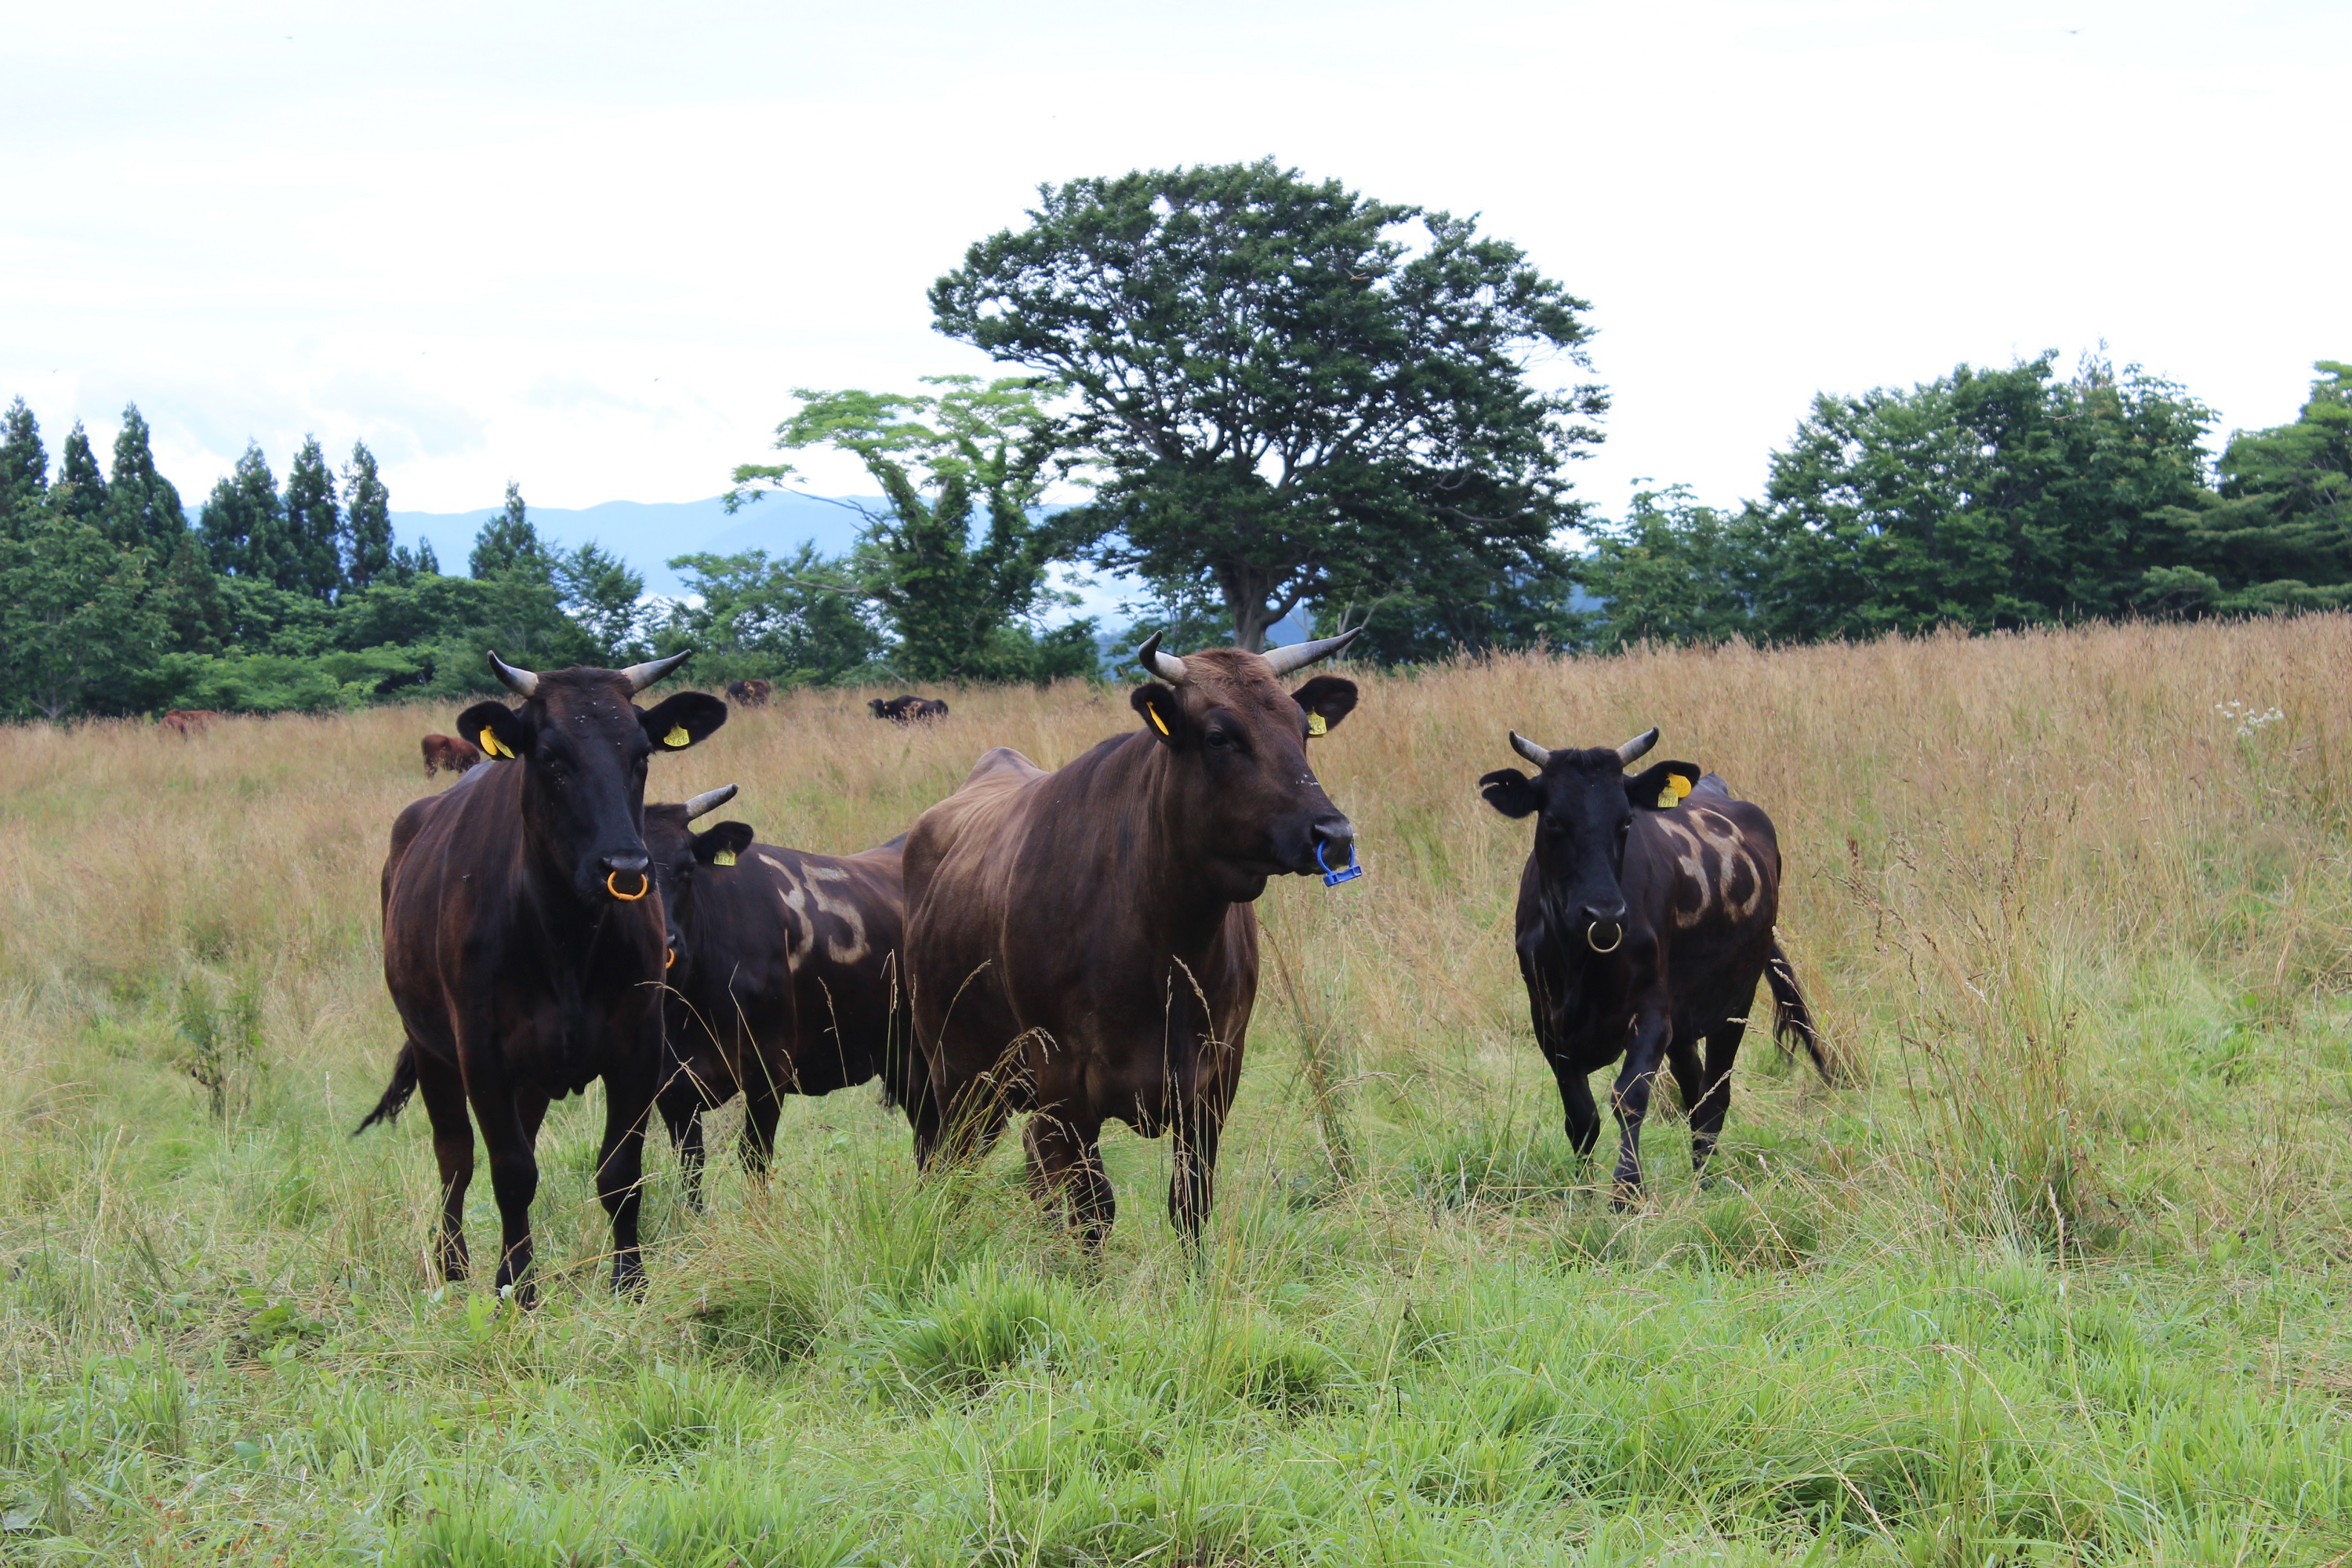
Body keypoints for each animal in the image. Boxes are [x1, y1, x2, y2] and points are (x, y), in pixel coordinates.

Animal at [353, 648, 724, 1298]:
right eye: (551, 757)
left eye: (641, 754)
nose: (626, 865)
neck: (566, 939)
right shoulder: (481, 1055)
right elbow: (510, 1172)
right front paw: (518, 1288)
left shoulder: (639, 1048)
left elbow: (620, 1171)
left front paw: (630, 1280)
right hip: (432, 1049)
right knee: (455, 1157)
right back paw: (453, 1264)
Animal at [908, 630, 1374, 1241]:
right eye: (1220, 737)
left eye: (1302, 729)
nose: (1335, 834)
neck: (1164, 948)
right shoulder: (1066, 1084)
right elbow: (1093, 1211)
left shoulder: (1216, 1079)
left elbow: (1190, 1203)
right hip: (960, 1076)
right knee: (951, 1173)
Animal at [1468, 724, 1835, 1203]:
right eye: (1553, 822)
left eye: (1625, 821)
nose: (1604, 914)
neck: (1582, 961)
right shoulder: (1547, 1022)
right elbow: (1580, 1115)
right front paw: (1585, 1192)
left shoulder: (1653, 1012)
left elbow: (1630, 1097)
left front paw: (1627, 1192)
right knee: (1694, 1088)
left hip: (1735, 1000)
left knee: (1714, 1097)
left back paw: (1704, 1182)